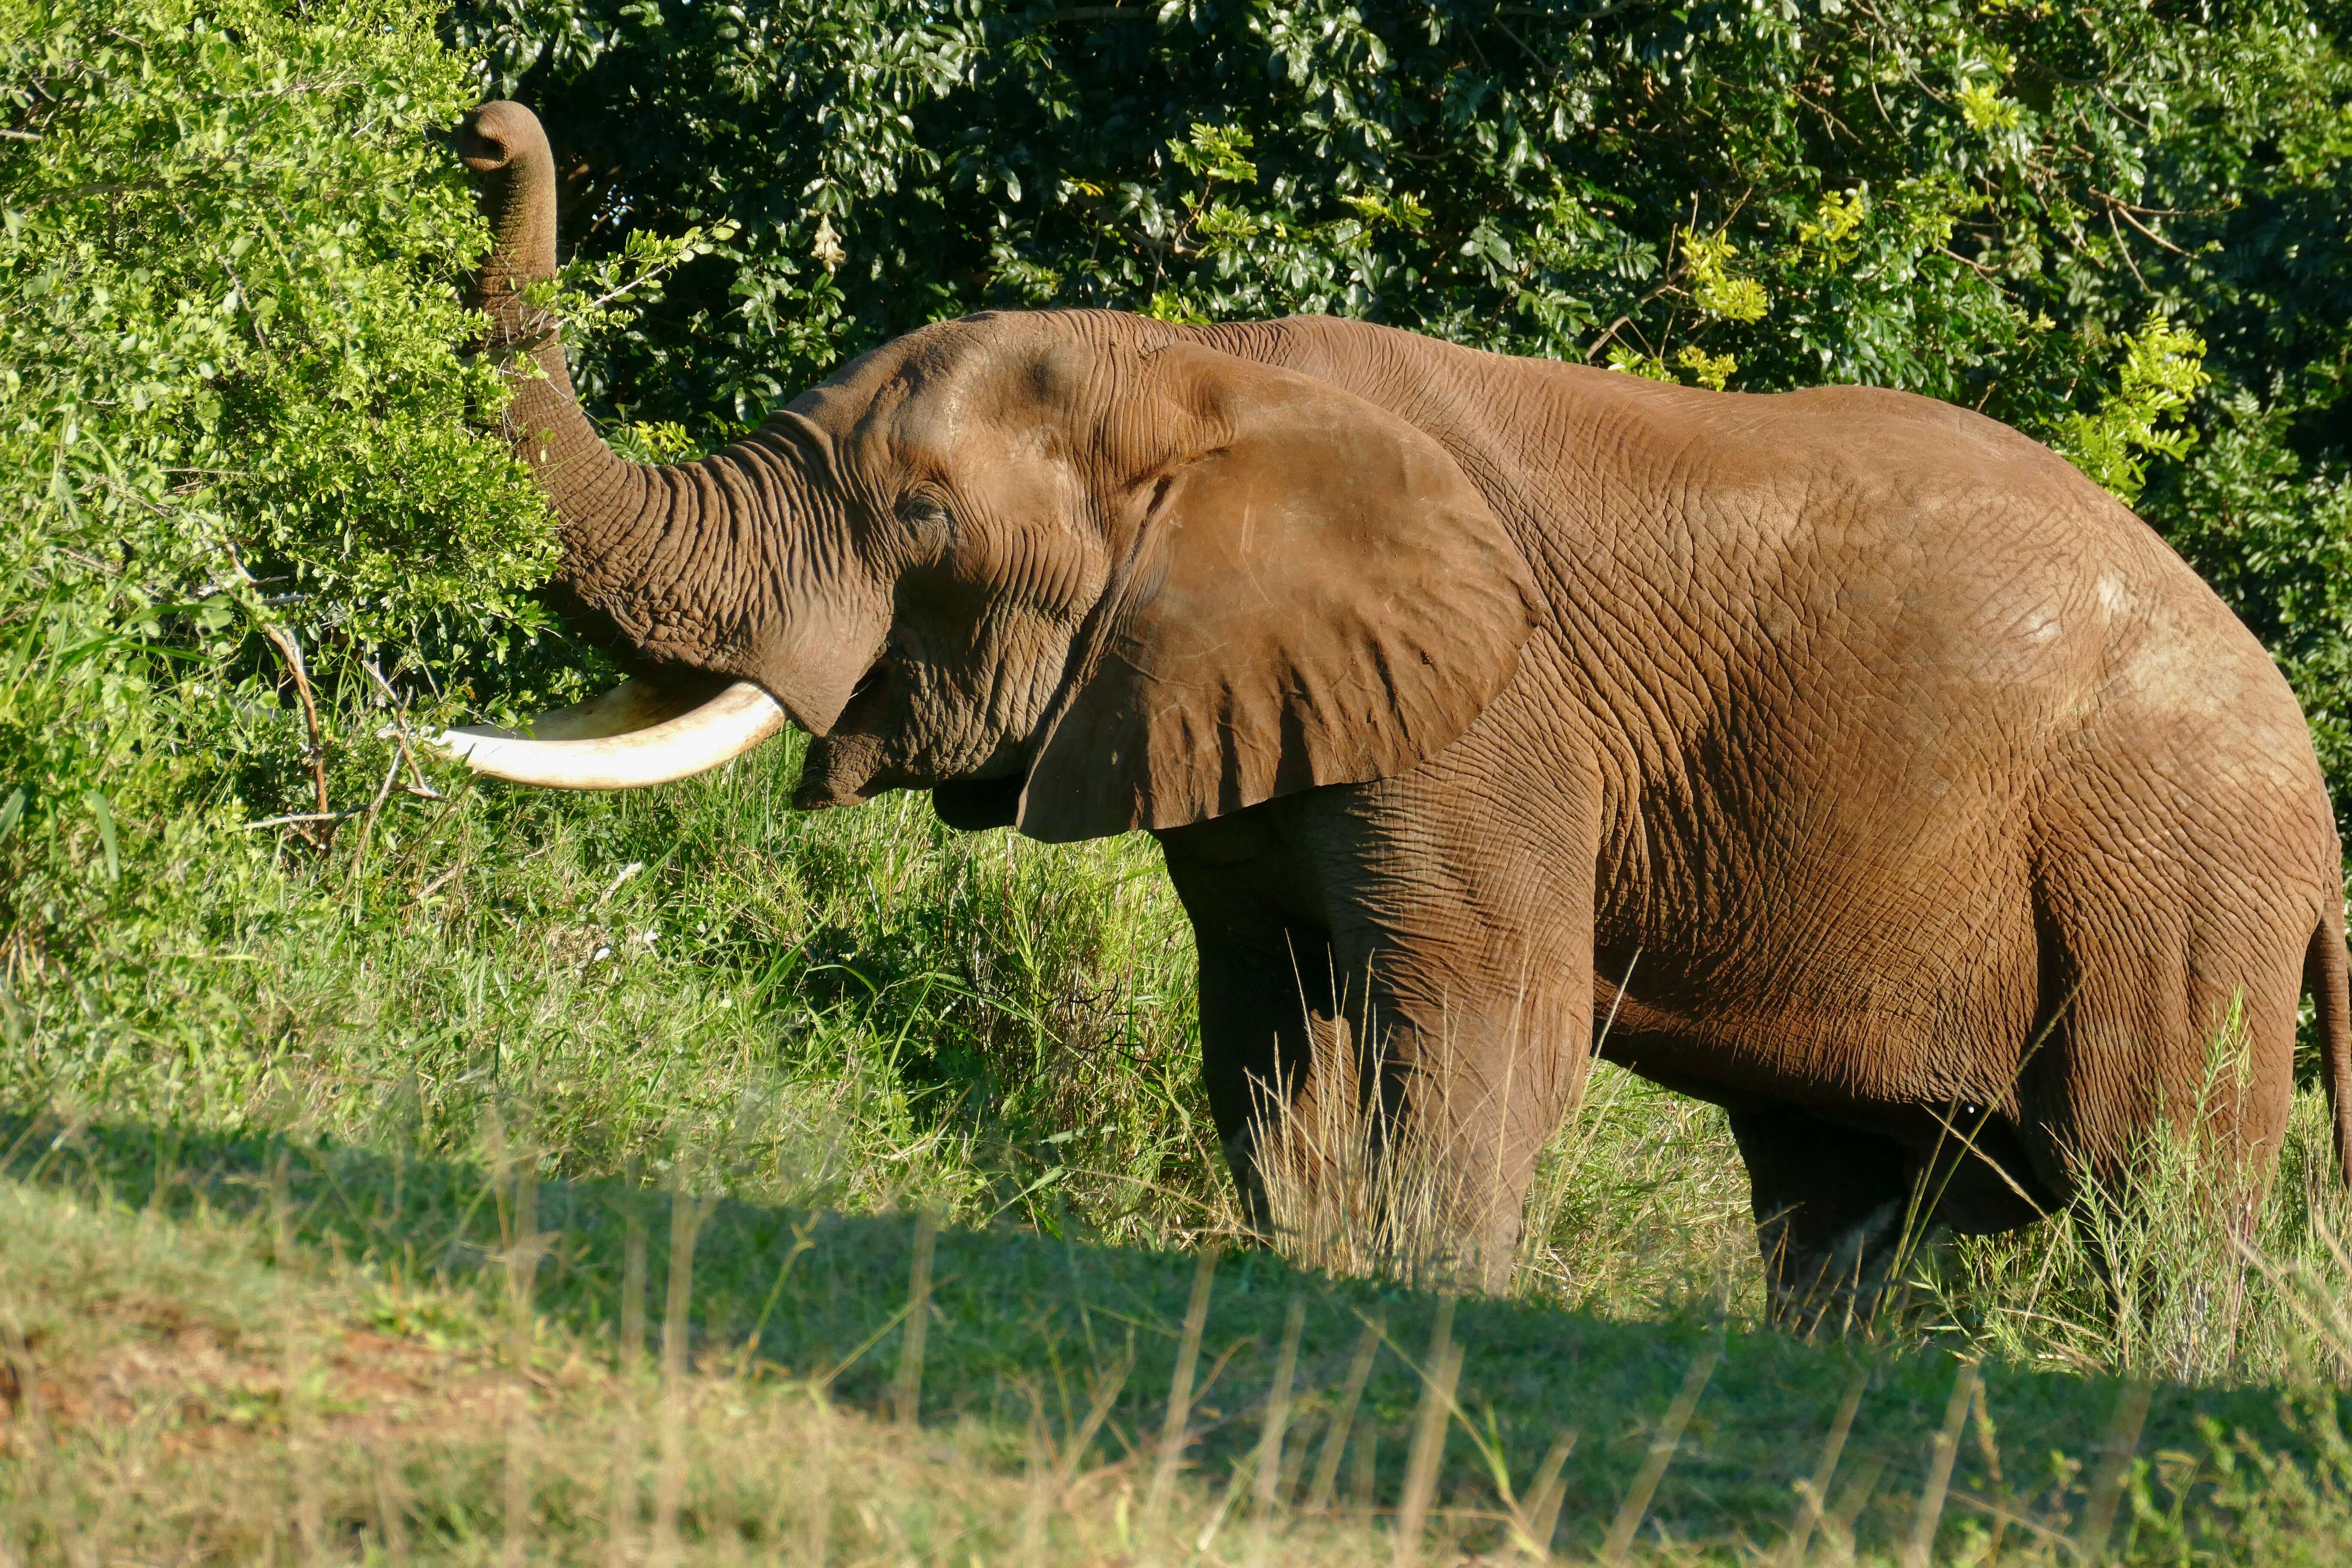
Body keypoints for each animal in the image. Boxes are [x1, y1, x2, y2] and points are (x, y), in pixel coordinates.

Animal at [454, 101, 2352, 1326]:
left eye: (919, 518)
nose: (486, 129)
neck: (1204, 365)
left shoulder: (1496, 720)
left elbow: (1484, 1020)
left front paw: (1433, 1302)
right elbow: (1266, 1027)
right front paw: (1301, 1270)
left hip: (2175, 877)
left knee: (2150, 1188)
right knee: (1836, 1198)